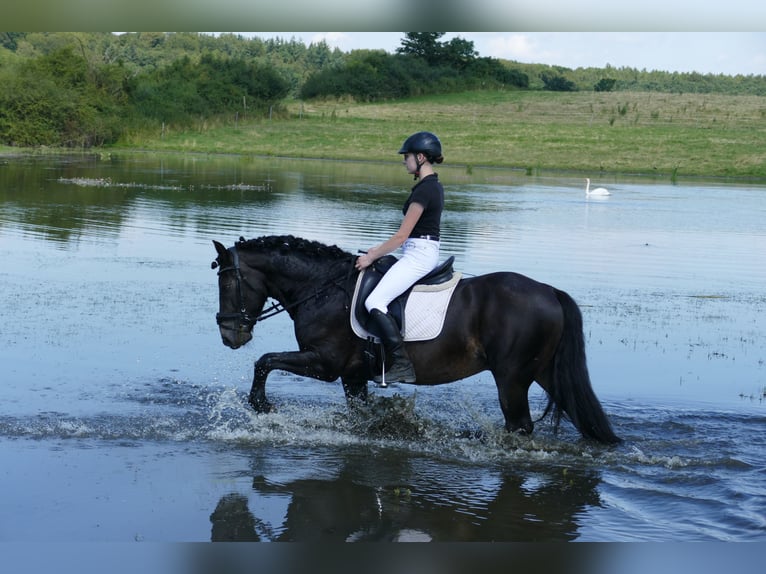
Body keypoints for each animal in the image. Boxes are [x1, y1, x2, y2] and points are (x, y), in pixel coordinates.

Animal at [212, 234, 624, 446]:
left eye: (227, 282)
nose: (230, 335)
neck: (322, 288)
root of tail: (549, 291)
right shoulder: (352, 375)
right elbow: (358, 417)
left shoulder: (324, 362)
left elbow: (265, 360)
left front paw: (261, 406)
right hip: (541, 372)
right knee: (576, 413)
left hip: (511, 377)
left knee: (519, 425)